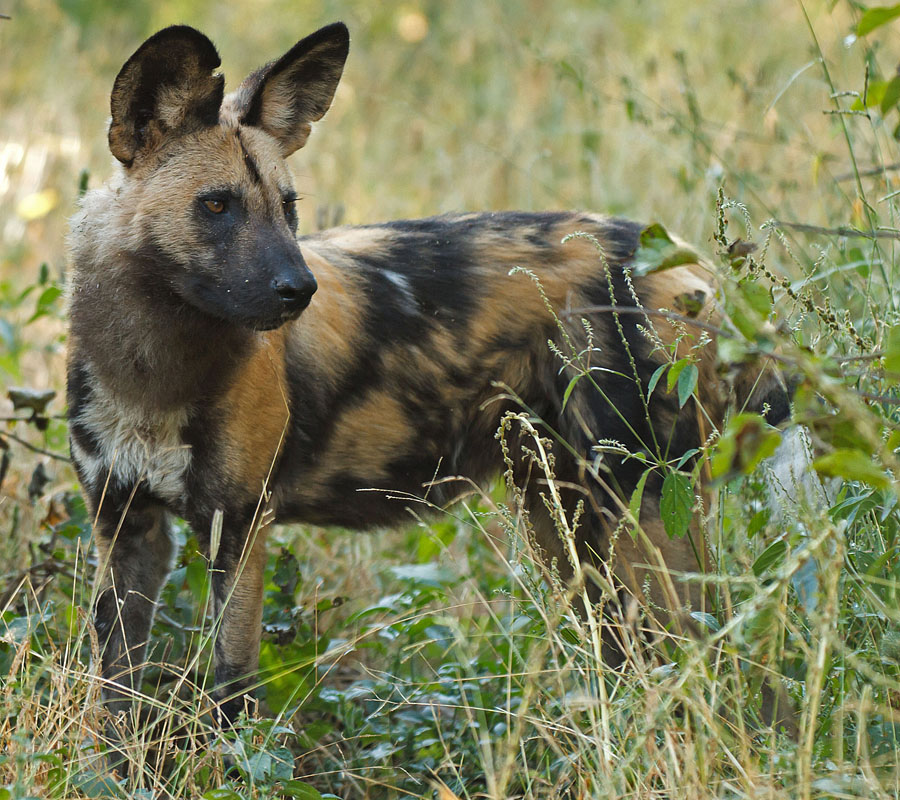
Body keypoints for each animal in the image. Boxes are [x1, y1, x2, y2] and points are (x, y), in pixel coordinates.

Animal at [68, 23, 788, 724]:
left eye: (288, 207)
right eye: (217, 206)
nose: (300, 289)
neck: (149, 367)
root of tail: (690, 266)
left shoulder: (238, 529)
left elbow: (231, 698)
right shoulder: (125, 526)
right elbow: (114, 697)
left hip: (641, 508)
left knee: (715, 658)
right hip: (567, 519)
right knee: (637, 653)